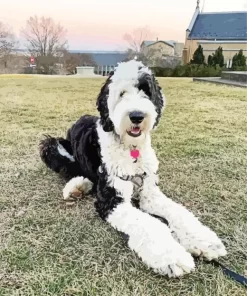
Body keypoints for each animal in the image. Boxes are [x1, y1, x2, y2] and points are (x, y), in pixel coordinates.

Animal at [39, 59, 227, 278]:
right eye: (122, 94)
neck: (131, 149)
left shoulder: (150, 193)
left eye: (146, 91)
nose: (137, 116)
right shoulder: (112, 199)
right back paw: (77, 187)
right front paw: (171, 257)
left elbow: (179, 211)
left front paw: (205, 241)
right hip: (52, 145)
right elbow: (149, 223)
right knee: (71, 168)